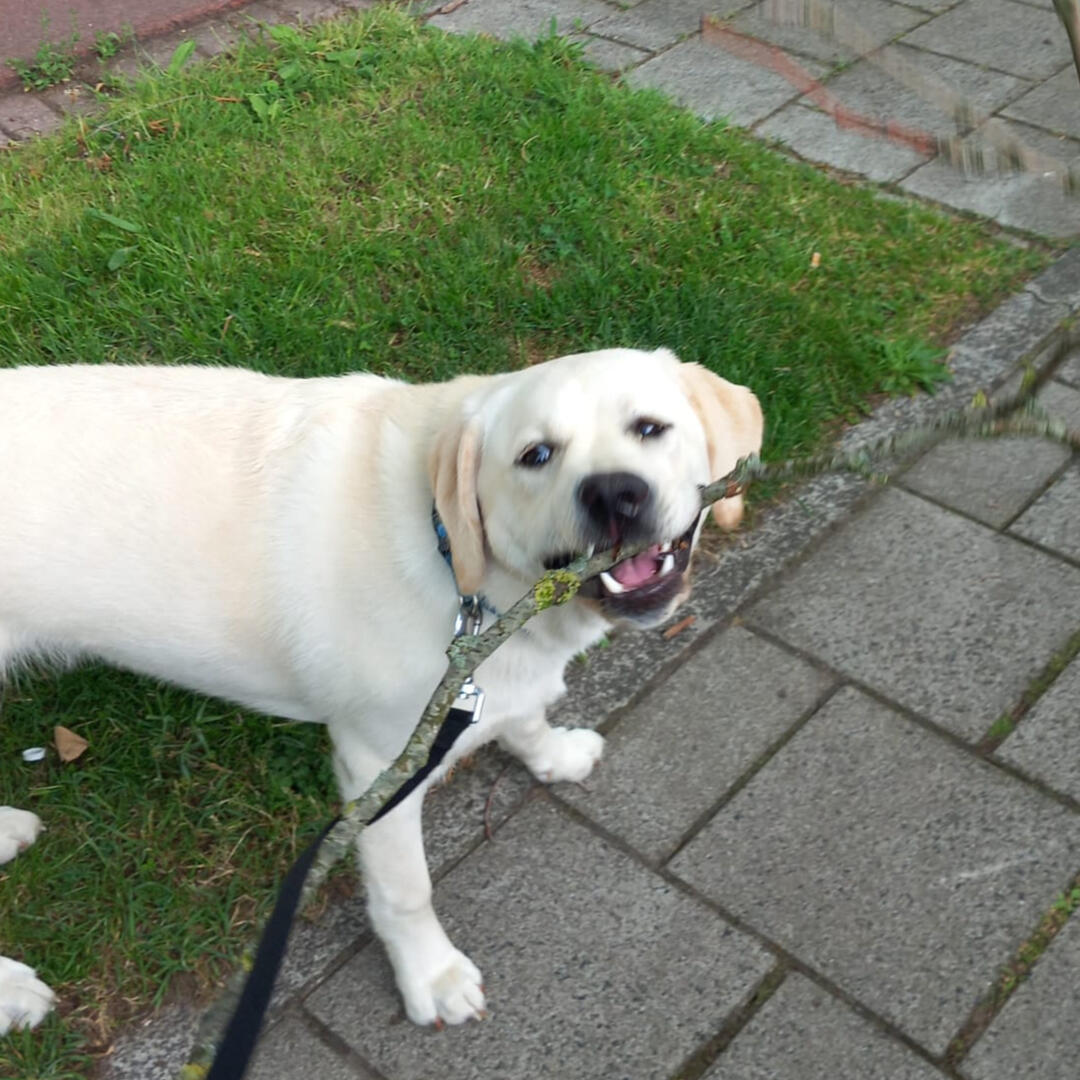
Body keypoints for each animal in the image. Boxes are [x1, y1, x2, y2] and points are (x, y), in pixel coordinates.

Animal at [0, 347, 762, 1031]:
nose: (612, 493)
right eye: (536, 455)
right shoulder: (379, 767)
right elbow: (406, 891)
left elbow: (525, 717)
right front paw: (432, 977)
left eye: (650, 428)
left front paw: (553, 755)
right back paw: (12, 994)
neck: (459, 568)